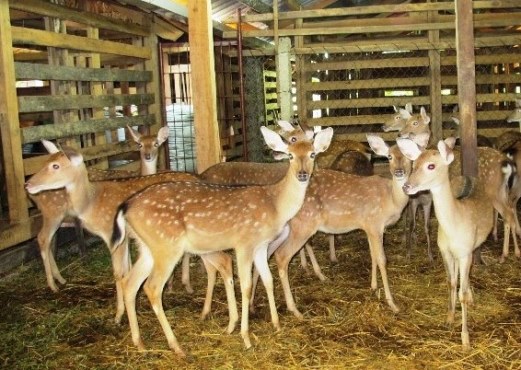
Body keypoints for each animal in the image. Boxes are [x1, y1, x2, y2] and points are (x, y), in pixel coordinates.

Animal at [27, 125, 171, 294]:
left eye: (156, 144)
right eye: (139, 145)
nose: (148, 156)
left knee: (49, 240)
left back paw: (60, 279)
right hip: (53, 212)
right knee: (42, 238)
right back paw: (53, 285)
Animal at [109, 125, 334, 356]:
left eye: (312, 154)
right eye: (290, 155)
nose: (302, 174)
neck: (275, 205)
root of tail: (126, 207)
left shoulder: (261, 245)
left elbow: (268, 279)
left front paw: (277, 324)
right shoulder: (244, 243)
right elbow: (245, 285)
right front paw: (246, 337)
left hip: (147, 247)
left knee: (130, 282)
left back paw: (139, 343)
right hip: (166, 245)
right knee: (152, 287)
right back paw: (176, 346)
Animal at [396, 137, 512, 350]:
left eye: (431, 166)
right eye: (413, 165)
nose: (407, 186)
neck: (454, 228)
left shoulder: (465, 251)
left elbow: (461, 293)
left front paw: (465, 339)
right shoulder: (445, 251)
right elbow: (451, 282)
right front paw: (449, 317)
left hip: (474, 244)